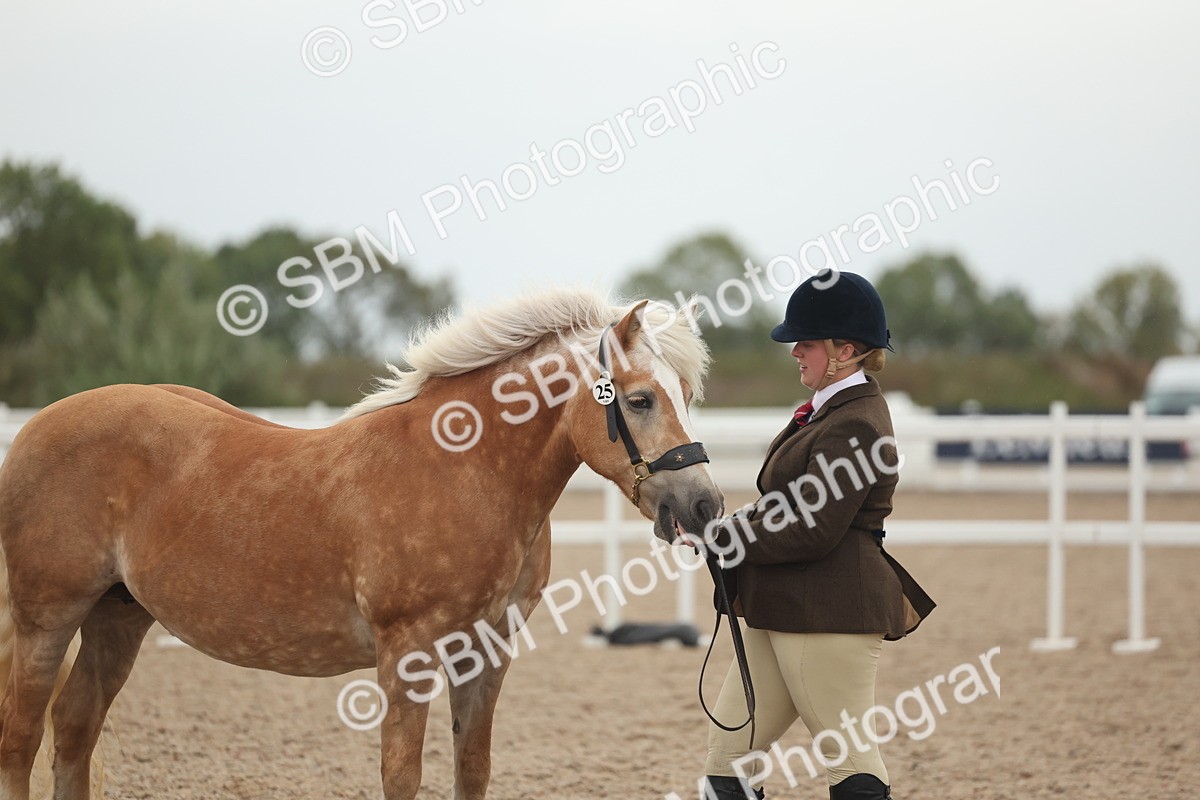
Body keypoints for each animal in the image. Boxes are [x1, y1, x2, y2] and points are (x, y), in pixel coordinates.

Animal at [0, 289, 723, 800]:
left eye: (687, 394)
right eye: (639, 400)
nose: (705, 504)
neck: (466, 468)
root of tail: (33, 429)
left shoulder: (486, 654)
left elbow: (473, 768)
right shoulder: (407, 652)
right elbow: (402, 775)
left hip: (117, 616)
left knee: (74, 731)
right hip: (47, 617)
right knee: (22, 737)